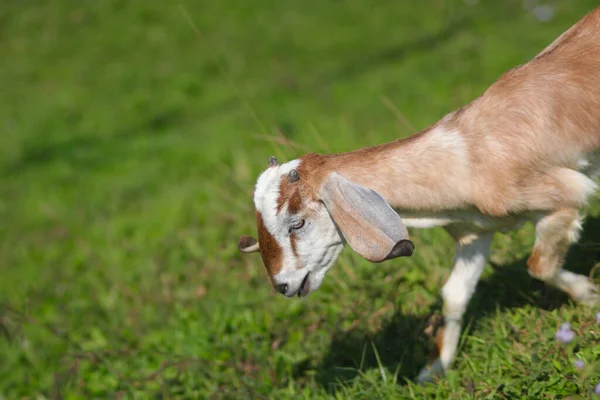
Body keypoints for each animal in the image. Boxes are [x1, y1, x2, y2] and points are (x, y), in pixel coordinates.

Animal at [238, 6, 600, 382]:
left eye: (297, 223)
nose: (282, 285)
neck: (466, 157)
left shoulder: (563, 198)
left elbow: (539, 265)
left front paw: (591, 295)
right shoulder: (475, 233)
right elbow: (453, 294)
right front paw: (434, 369)